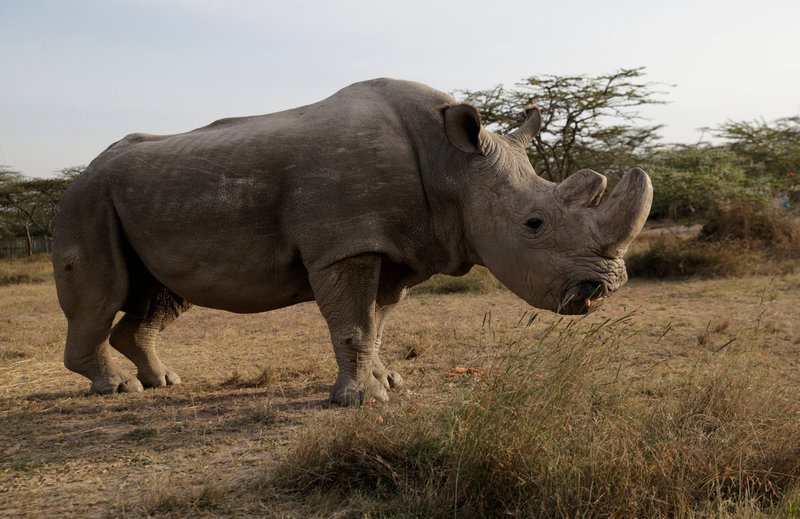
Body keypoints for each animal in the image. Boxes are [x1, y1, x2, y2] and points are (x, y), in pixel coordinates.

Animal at [52, 78, 652, 405]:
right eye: (533, 224)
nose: (605, 288)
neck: (452, 166)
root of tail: (82, 172)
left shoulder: (396, 247)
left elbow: (376, 324)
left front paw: (390, 382)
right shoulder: (345, 246)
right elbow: (354, 325)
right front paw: (361, 402)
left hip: (139, 200)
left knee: (159, 296)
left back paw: (163, 383)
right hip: (87, 201)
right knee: (103, 292)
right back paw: (118, 389)